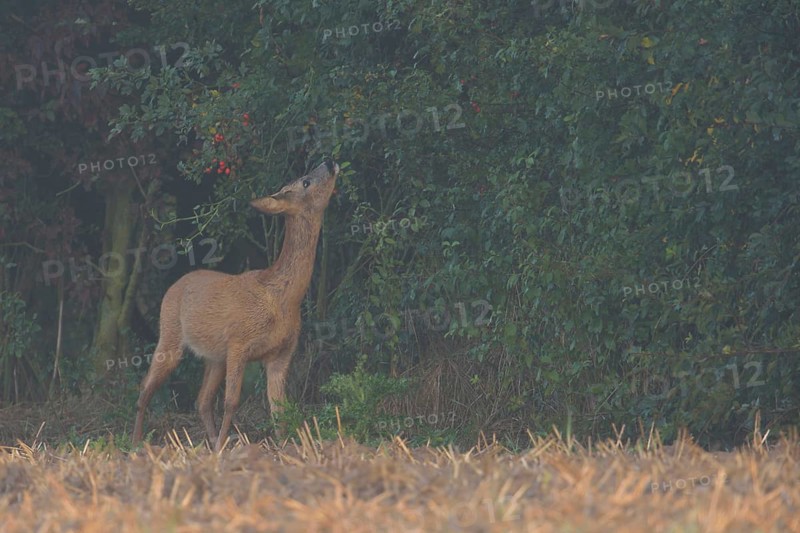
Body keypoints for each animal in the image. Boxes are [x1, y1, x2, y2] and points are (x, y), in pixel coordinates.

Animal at [132, 159, 339, 452]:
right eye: (305, 181)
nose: (329, 162)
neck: (282, 299)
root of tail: (175, 285)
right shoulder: (239, 342)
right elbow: (231, 402)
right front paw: (224, 446)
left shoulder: (282, 353)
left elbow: (279, 407)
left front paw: (284, 447)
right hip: (170, 334)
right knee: (145, 386)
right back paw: (136, 443)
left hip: (214, 357)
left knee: (201, 400)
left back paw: (209, 441)